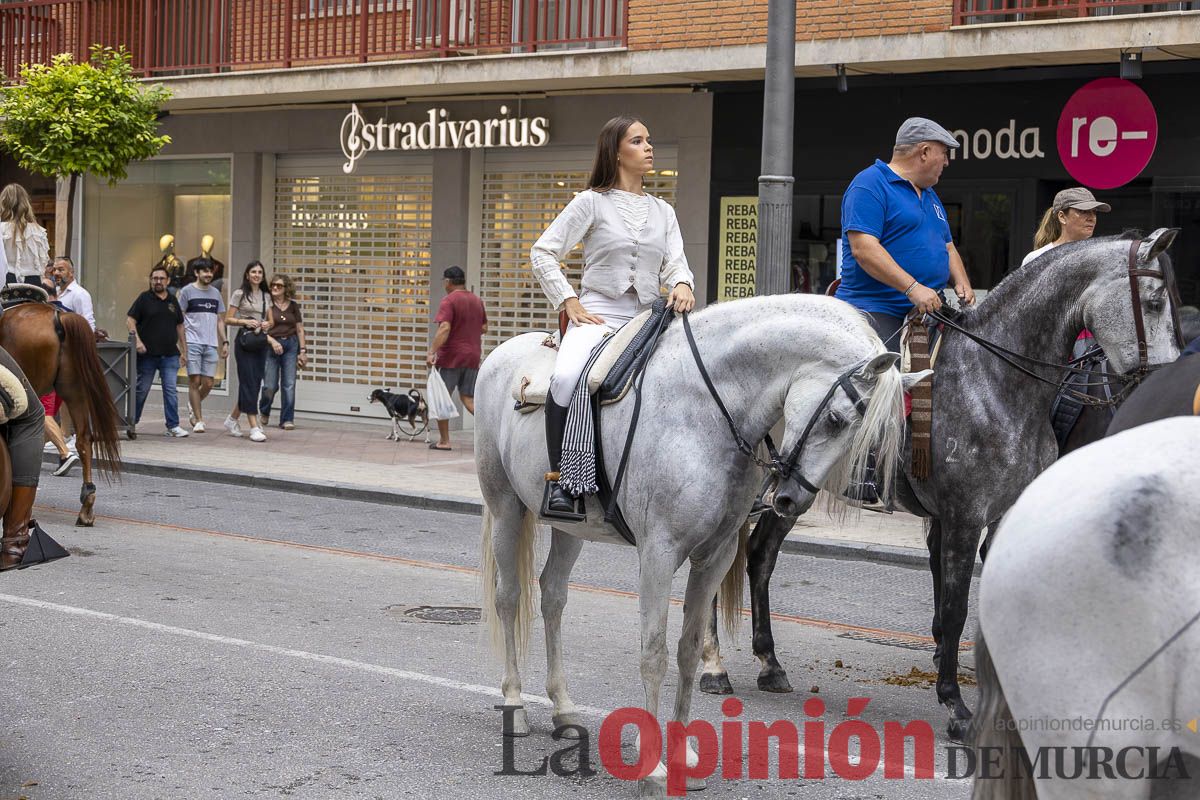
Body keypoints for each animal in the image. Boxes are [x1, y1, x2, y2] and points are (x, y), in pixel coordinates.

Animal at [476, 295, 924, 798]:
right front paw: (652, 768)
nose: (790, 500)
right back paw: (514, 704)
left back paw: (564, 708)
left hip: (570, 528)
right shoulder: (658, 554)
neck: (706, 409)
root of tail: (503, 350)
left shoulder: (715, 556)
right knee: (509, 597)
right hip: (505, 507)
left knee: (552, 595)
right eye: (836, 418)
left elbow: (688, 651)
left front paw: (681, 754)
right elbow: (654, 654)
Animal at [699, 229, 1183, 741]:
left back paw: (770, 663)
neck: (994, 384)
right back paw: (713, 667)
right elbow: (954, 609)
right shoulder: (964, 518)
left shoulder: (1001, 514)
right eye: (1154, 302)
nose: (1164, 384)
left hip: (794, 493)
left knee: (760, 555)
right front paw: (955, 704)